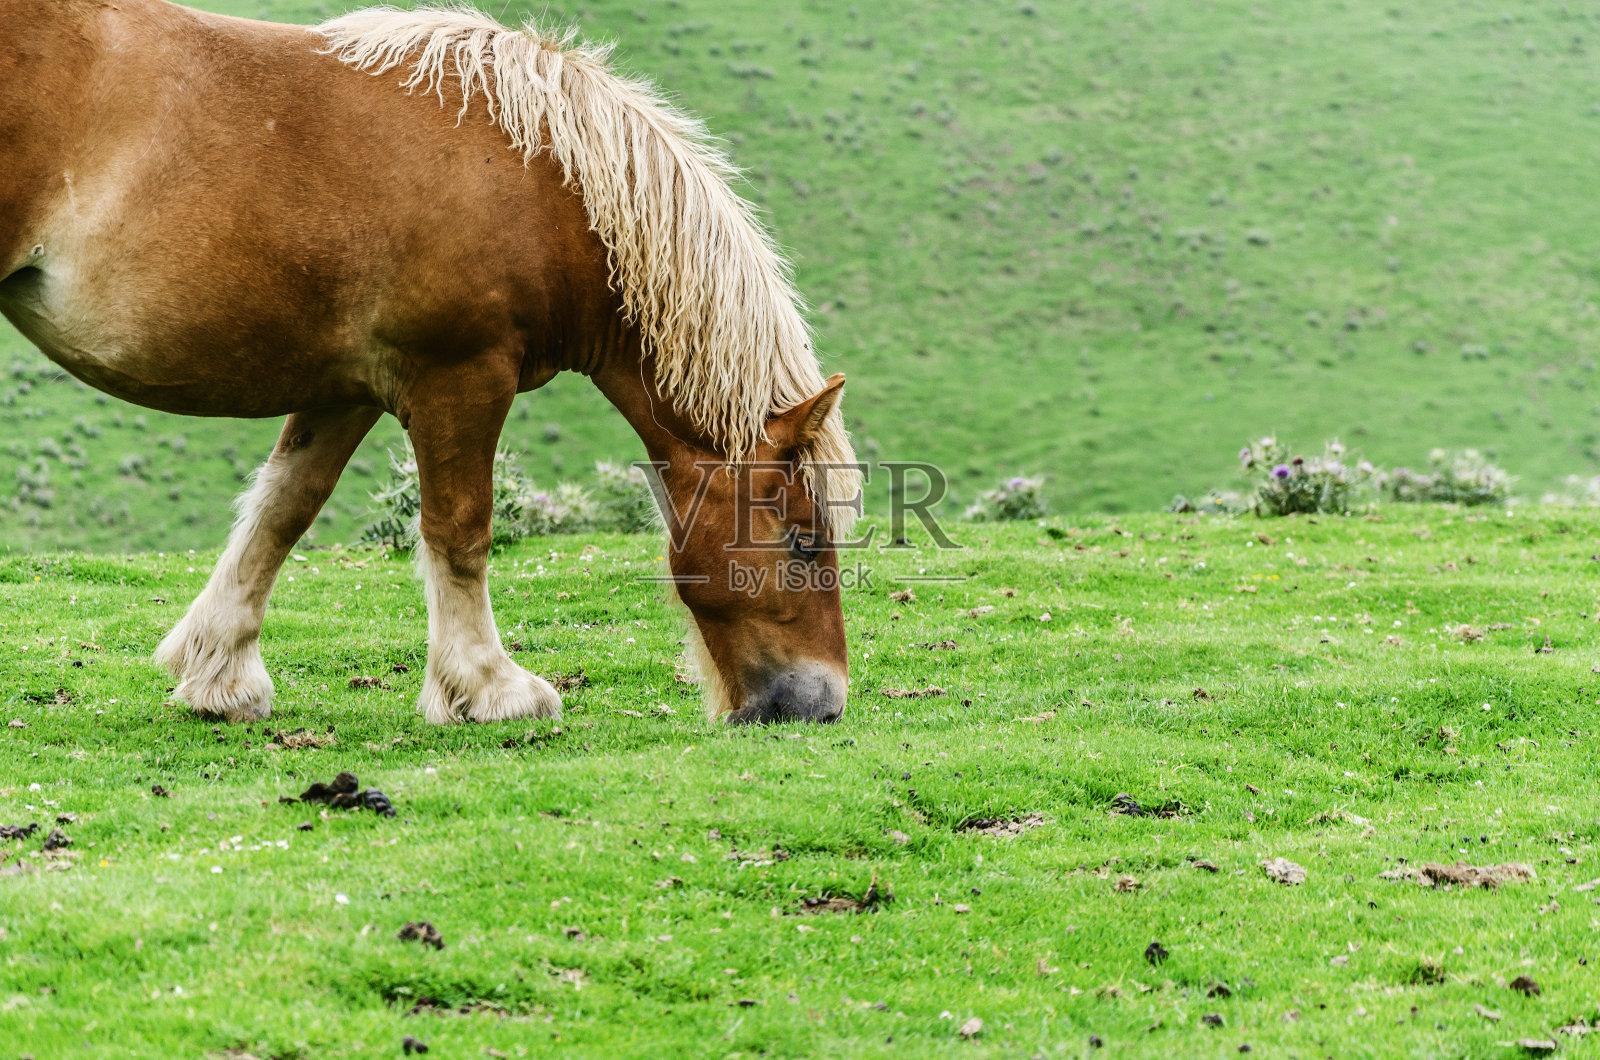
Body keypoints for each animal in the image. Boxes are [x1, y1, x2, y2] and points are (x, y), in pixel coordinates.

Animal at [0, 0, 861, 726]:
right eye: (801, 539)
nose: (820, 703)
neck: (538, 180)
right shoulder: (462, 377)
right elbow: (461, 529)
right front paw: (490, 687)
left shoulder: (345, 390)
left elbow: (282, 511)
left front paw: (220, 674)